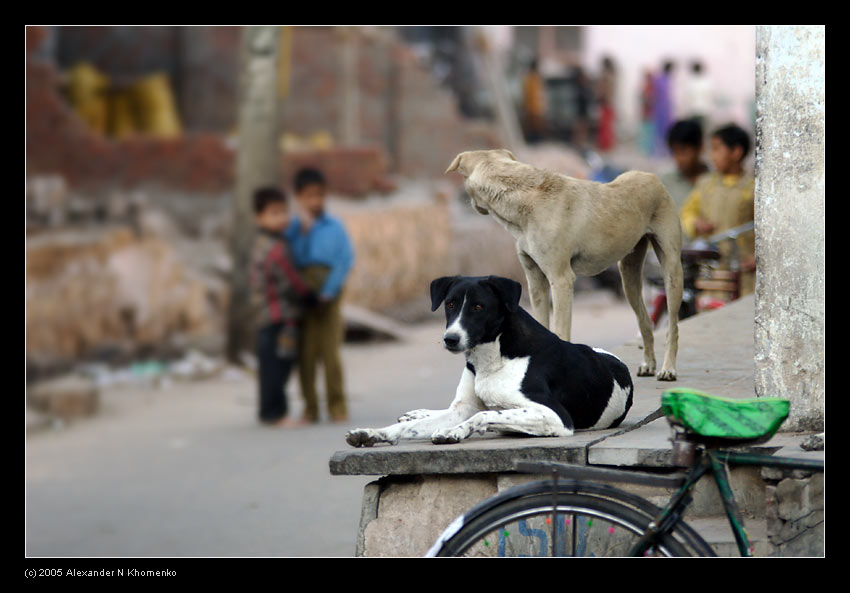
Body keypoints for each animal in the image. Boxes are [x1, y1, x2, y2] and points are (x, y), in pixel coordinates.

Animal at [342, 276, 628, 446]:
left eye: (479, 307)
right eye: (450, 304)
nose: (450, 339)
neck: (494, 357)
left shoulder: (555, 416)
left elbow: (485, 414)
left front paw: (454, 432)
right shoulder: (460, 409)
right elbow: (414, 426)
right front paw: (375, 433)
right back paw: (415, 413)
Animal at [444, 148, 684, 380]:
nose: (471, 206)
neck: (524, 197)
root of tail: (652, 176)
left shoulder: (561, 280)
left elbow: (560, 331)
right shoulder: (535, 282)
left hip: (672, 270)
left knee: (672, 326)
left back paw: (668, 369)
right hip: (629, 274)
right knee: (645, 321)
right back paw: (648, 364)